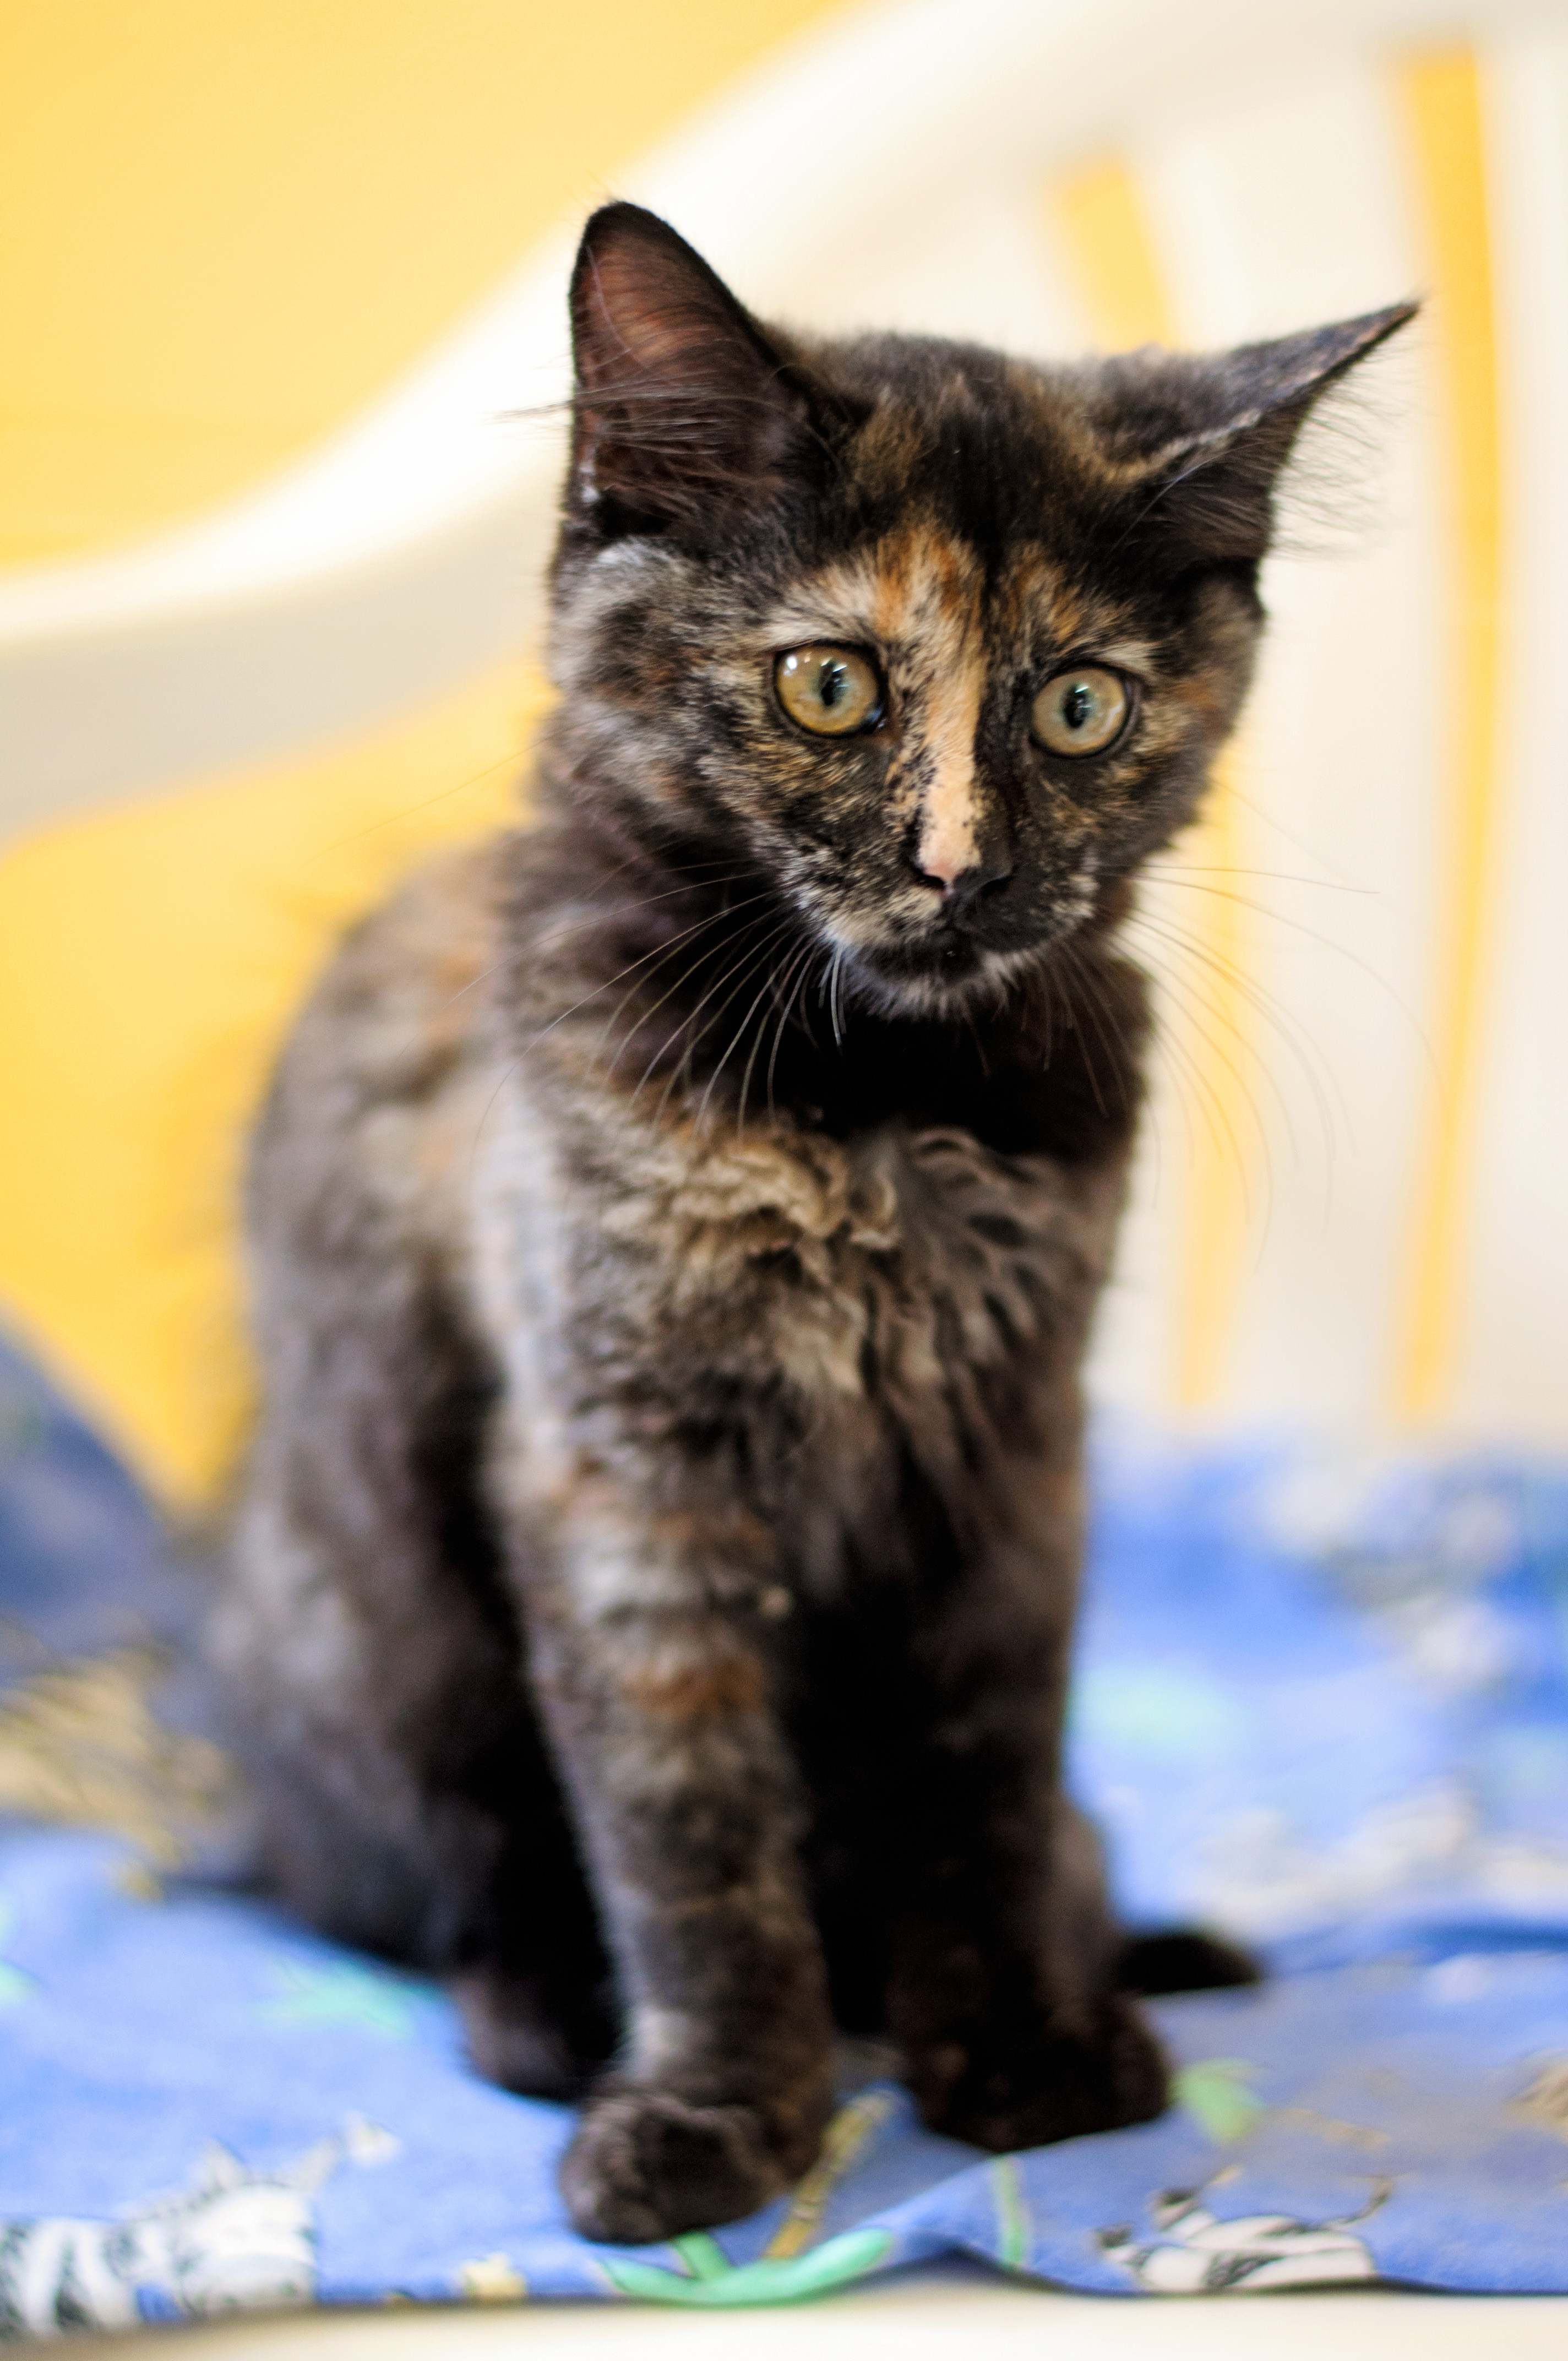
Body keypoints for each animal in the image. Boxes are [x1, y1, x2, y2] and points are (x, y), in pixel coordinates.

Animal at [214, 201, 1411, 2245]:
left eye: (1078, 704)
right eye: (828, 686)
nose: (960, 865)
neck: (872, 1106)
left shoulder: (1011, 1449)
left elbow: (985, 1776)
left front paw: (1018, 2047)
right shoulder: (626, 1470)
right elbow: (691, 1834)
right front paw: (716, 2113)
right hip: (365, 1643)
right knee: (445, 1884)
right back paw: (547, 2017)